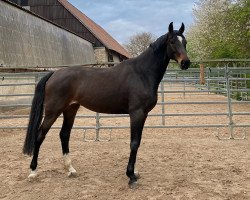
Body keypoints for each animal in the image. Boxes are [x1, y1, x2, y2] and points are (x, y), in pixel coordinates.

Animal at [23, 22, 190, 188]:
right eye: (172, 41)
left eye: (185, 42)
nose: (186, 63)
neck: (142, 73)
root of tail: (54, 74)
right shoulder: (136, 113)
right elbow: (134, 143)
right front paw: (131, 176)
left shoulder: (144, 114)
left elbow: (138, 142)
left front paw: (135, 173)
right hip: (53, 111)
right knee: (40, 135)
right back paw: (33, 171)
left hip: (70, 109)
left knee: (64, 134)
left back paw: (70, 169)